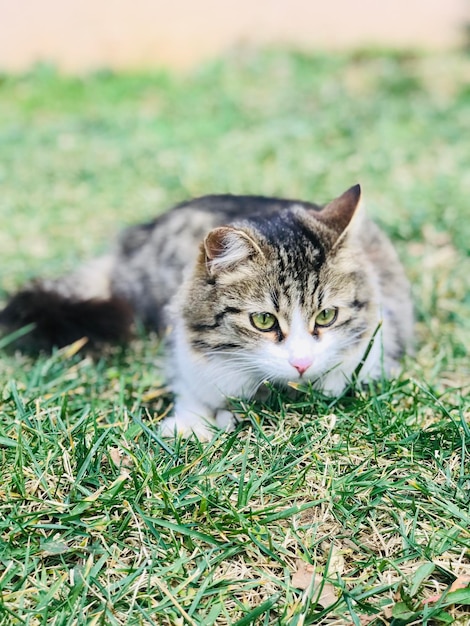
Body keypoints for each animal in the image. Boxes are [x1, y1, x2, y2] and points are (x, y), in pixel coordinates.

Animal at [0, 185, 412, 438]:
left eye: (326, 316)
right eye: (263, 321)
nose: (301, 364)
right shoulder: (185, 357)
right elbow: (193, 395)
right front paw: (189, 426)